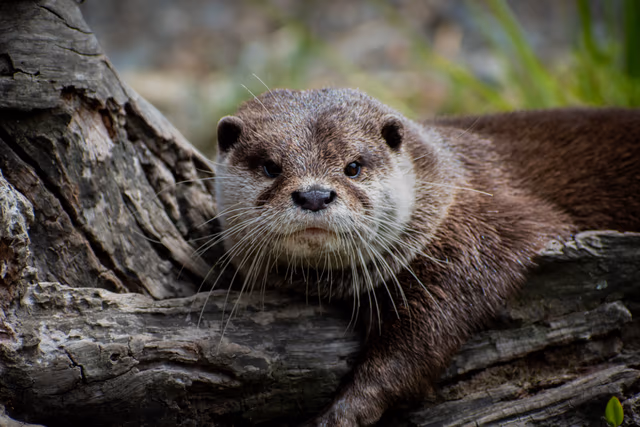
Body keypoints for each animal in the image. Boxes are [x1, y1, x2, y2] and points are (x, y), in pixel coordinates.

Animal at [214, 88, 640, 426]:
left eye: (353, 167)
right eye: (271, 167)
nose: (314, 195)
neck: (449, 186)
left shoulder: (479, 236)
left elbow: (424, 337)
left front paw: (345, 411)